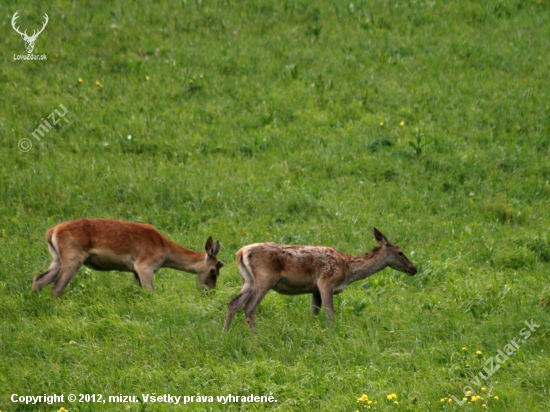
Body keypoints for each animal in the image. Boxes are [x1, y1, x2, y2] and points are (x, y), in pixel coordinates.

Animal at [30, 219, 223, 296]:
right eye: (213, 270)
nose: (209, 292)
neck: (165, 251)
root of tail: (51, 232)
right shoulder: (145, 266)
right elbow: (150, 292)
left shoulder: (135, 271)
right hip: (73, 256)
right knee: (57, 286)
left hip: (57, 259)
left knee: (39, 278)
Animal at [224, 229, 418, 332]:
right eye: (400, 252)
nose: (414, 268)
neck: (348, 270)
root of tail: (241, 252)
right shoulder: (326, 281)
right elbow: (330, 312)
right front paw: (333, 333)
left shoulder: (314, 289)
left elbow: (314, 313)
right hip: (266, 278)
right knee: (249, 306)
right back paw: (255, 337)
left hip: (248, 280)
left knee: (233, 303)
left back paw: (225, 333)